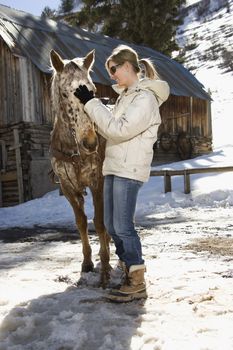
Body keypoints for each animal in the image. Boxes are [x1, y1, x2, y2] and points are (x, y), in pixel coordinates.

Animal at [49, 49, 111, 288]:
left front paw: (106, 266)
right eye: (66, 94)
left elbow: (100, 223)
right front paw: (87, 262)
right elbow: (81, 222)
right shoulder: (68, 187)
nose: (91, 143)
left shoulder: (97, 182)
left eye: (92, 90)